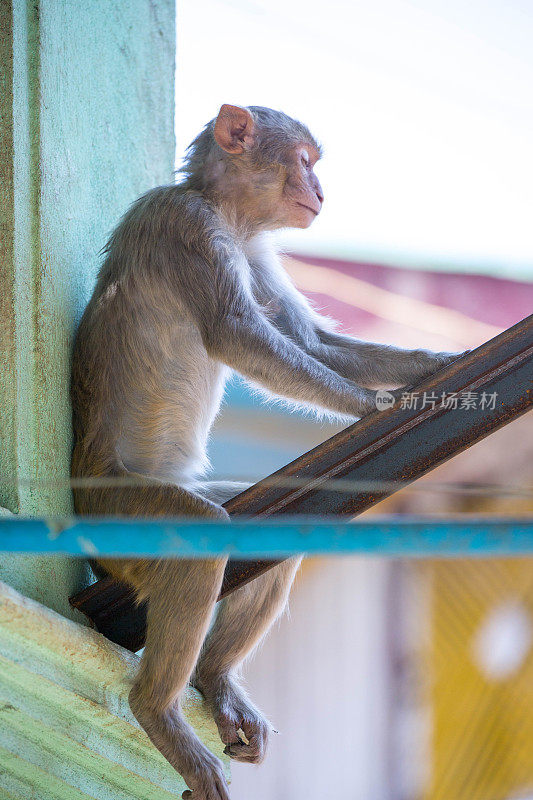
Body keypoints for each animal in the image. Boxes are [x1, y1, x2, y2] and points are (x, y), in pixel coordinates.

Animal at [71, 103, 466, 796]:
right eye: (305, 161)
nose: (321, 192)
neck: (224, 210)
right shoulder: (188, 227)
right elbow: (240, 334)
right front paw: (375, 408)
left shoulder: (253, 252)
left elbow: (312, 343)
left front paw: (431, 365)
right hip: (116, 517)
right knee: (201, 535)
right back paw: (159, 709)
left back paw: (215, 680)